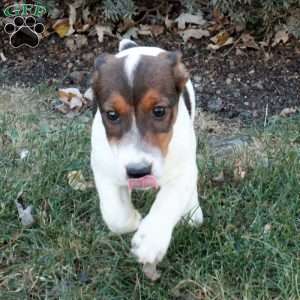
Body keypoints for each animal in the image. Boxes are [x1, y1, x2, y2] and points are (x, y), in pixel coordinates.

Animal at [90, 38, 203, 280]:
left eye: (159, 111)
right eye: (112, 115)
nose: (138, 172)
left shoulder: (183, 171)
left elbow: (168, 202)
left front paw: (150, 241)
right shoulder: (103, 170)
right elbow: (115, 216)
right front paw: (134, 220)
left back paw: (192, 212)